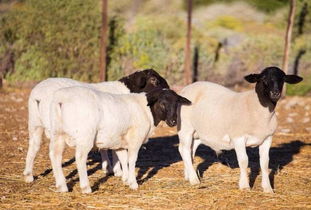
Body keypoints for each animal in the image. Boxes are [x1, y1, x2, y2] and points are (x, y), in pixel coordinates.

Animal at [23, 69, 171, 182]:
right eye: (154, 80)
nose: (168, 90)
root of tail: (38, 96)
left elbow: (105, 148)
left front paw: (108, 168)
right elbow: (114, 150)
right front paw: (117, 171)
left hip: (34, 123)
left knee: (34, 146)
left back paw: (29, 175)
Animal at [48, 86, 191, 193]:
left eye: (177, 104)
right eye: (162, 103)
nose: (173, 122)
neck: (147, 110)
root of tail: (61, 100)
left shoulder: (120, 142)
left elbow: (123, 159)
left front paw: (126, 179)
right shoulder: (135, 139)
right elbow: (132, 160)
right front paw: (133, 183)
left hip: (57, 133)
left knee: (55, 156)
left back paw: (62, 186)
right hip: (85, 135)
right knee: (80, 158)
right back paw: (86, 187)